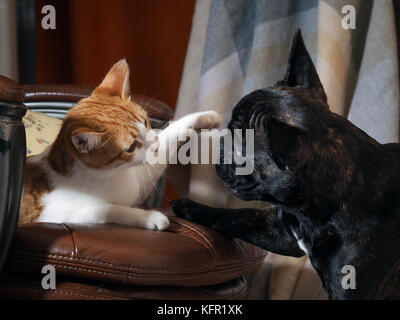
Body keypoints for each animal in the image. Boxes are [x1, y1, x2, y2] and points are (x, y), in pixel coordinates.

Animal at [19, 59, 222, 230]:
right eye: (131, 147)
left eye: (146, 122)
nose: (154, 146)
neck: (108, 175)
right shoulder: (56, 215)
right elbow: (108, 209)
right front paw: (149, 217)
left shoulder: (136, 185)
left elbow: (172, 133)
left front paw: (208, 118)